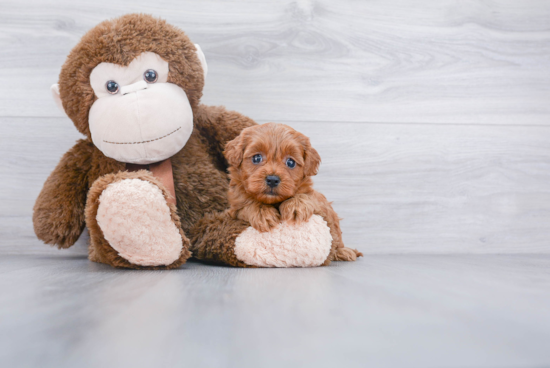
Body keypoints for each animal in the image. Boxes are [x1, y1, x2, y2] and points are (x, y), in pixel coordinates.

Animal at [223, 123, 362, 262]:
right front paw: (262, 213)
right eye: (257, 158)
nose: (272, 179)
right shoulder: (233, 210)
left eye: (290, 162)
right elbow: (246, 205)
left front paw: (296, 206)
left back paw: (343, 251)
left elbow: (307, 197)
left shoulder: (317, 201)